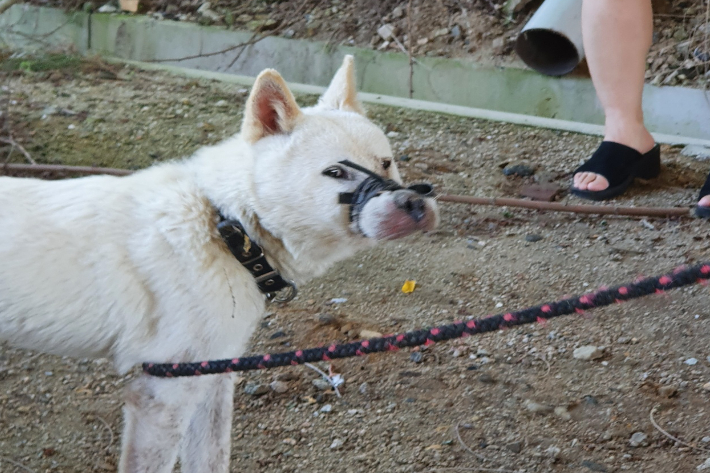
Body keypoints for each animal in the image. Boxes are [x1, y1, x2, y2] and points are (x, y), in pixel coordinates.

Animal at [0, 56, 440, 472]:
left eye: (386, 163)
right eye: (335, 172)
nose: (416, 204)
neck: (226, 226)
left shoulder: (212, 376)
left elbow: (212, 458)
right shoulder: (164, 391)